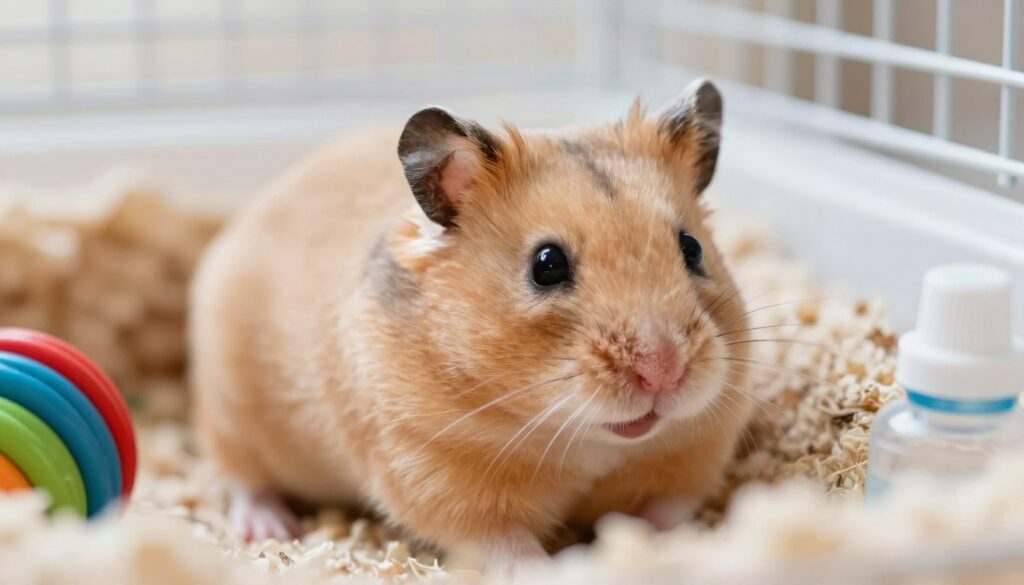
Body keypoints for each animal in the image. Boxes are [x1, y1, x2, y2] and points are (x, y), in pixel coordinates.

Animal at [189, 78, 753, 572]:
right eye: (547, 264)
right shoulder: (432, 473)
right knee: (243, 478)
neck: (587, 441)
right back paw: (268, 529)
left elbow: (666, 512)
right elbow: (505, 542)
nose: (664, 371)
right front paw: (554, 568)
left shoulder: (699, 451)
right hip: (229, 412)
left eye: (692, 248)